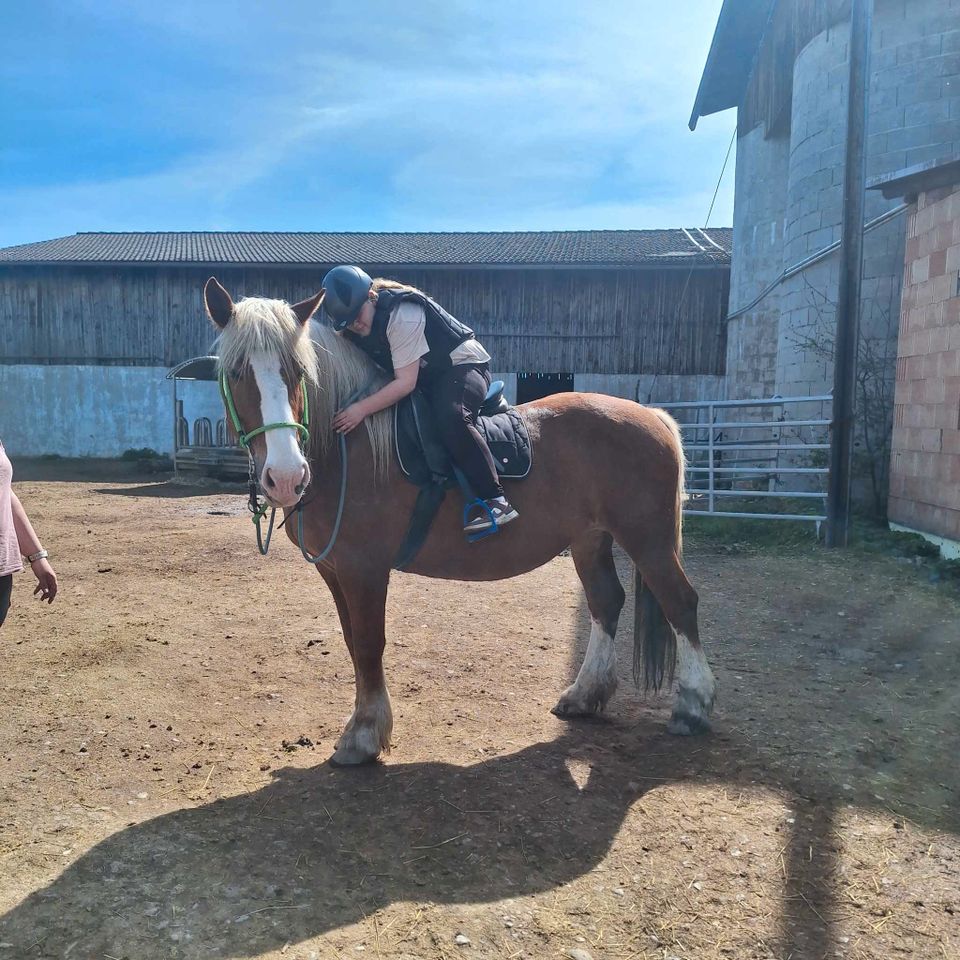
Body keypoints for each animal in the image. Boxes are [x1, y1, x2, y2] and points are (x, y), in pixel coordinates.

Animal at [202, 278, 716, 764]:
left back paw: (692, 705)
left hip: (648, 540)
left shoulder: (364, 571)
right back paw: (585, 695)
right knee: (606, 602)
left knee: (680, 602)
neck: (347, 449)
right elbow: (351, 643)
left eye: (298, 372)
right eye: (236, 372)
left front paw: (364, 735)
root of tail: (650, 414)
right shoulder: (335, 571)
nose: (287, 476)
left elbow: (368, 643)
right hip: (591, 539)